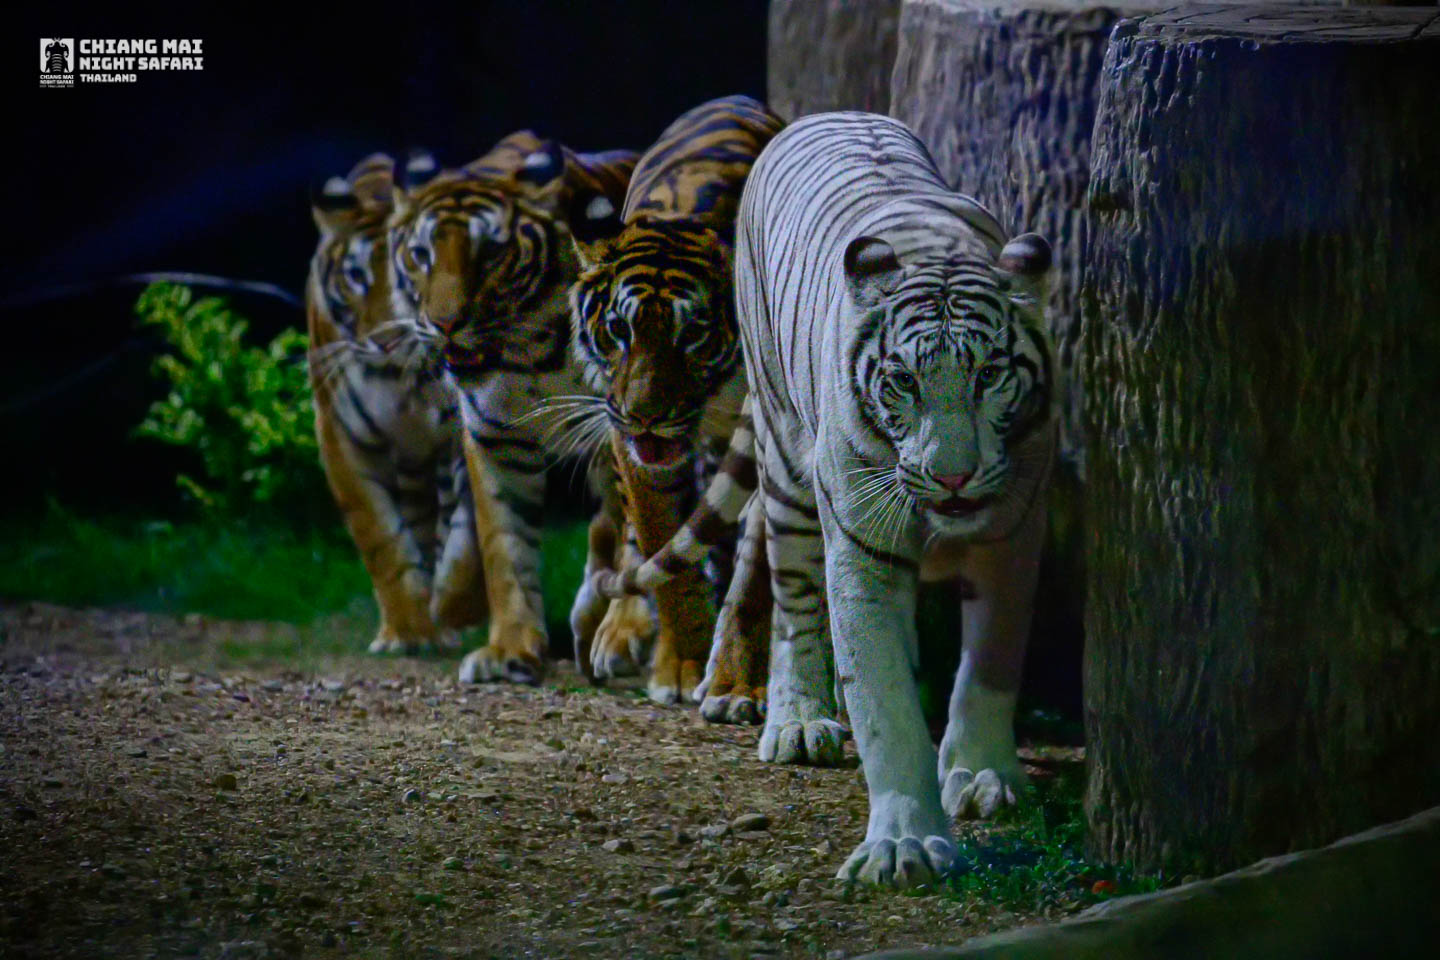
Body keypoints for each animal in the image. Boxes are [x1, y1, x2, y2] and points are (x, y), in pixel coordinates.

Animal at [587, 114, 1059, 892]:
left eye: (990, 374)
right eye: (902, 380)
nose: (953, 478)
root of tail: (818, 116)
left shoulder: (1014, 535)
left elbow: (989, 667)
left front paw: (983, 775)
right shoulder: (861, 544)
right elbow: (884, 700)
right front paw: (903, 842)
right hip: (784, 462)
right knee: (792, 595)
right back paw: (797, 719)